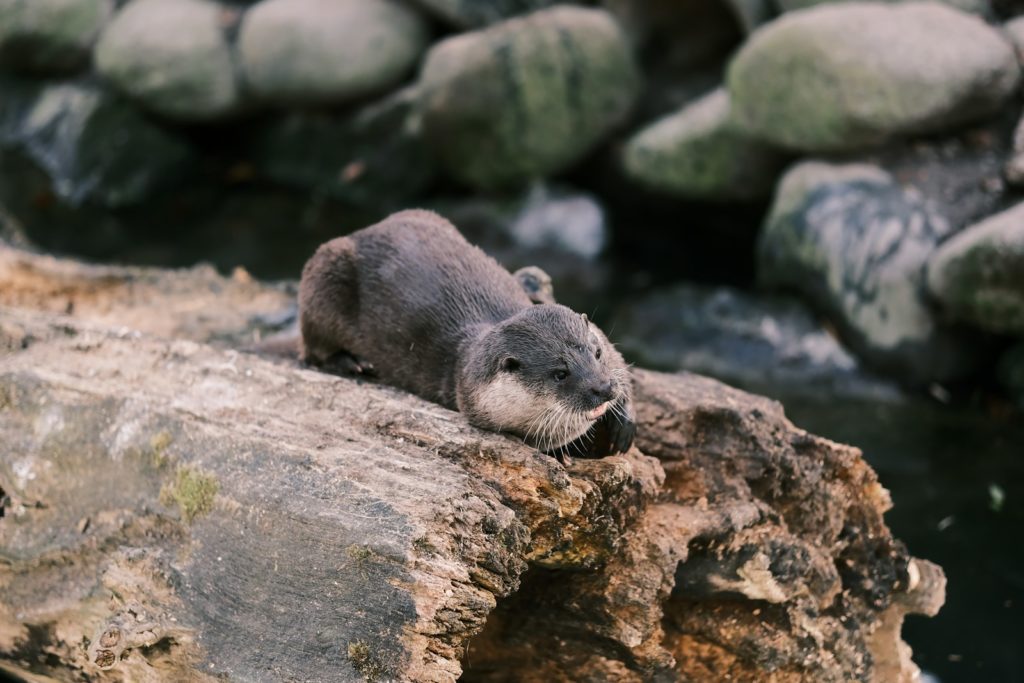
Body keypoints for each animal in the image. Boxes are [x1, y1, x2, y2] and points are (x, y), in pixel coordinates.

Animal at [299, 208, 630, 458]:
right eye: (560, 374)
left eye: (596, 353)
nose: (603, 387)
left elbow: (621, 363)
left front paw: (624, 418)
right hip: (324, 274)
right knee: (313, 347)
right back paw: (352, 363)